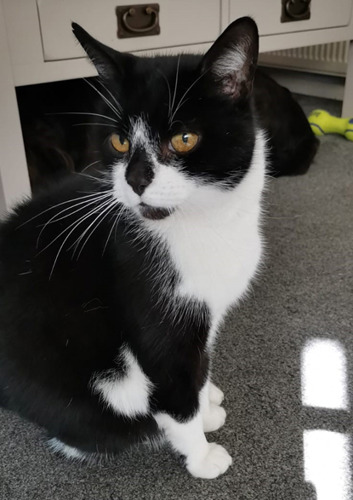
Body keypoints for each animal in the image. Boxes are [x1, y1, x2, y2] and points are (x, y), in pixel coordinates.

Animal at [0, 16, 264, 480]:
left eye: (185, 138)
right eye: (120, 142)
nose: (136, 179)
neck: (204, 226)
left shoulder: (205, 310)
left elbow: (201, 364)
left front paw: (208, 400)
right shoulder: (151, 304)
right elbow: (175, 385)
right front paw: (201, 453)